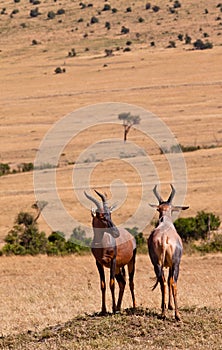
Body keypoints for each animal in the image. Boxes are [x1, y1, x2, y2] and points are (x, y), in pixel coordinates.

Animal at [148, 185, 188, 322]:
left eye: (161, 208)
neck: (165, 223)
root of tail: (164, 237)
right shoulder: (172, 265)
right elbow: (171, 281)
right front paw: (170, 306)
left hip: (157, 265)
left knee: (163, 283)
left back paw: (163, 313)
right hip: (175, 264)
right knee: (172, 283)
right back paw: (177, 315)